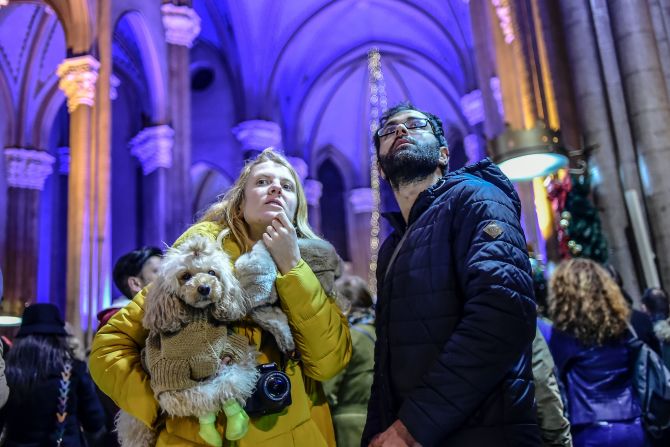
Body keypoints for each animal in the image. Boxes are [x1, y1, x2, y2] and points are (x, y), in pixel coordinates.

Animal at [117, 236, 258, 446]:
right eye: (185, 276)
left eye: (212, 272)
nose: (205, 288)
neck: (197, 319)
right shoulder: (170, 378)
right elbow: (203, 396)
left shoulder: (235, 351)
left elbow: (230, 380)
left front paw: (234, 413)